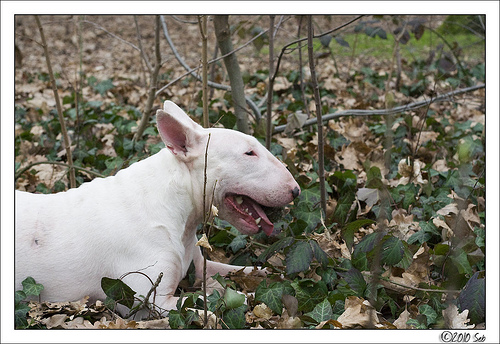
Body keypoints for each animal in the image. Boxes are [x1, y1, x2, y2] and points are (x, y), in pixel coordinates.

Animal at [13, 100, 298, 314]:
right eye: (249, 153)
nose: (295, 190)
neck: (176, 210)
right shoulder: (151, 299)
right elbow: (219, 300)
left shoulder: (199, 264)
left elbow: (243, 270)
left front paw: (282, 278)